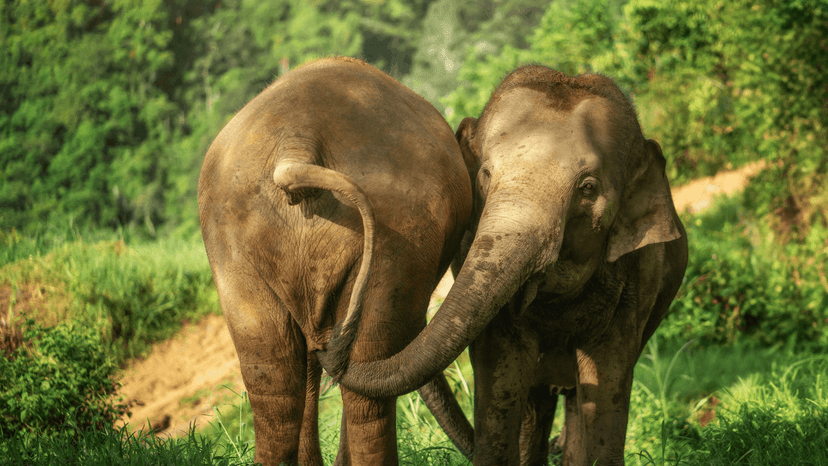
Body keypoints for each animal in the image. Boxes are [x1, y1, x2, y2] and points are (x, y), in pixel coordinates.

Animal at [321, 65, 689, 466]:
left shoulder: (635, 280)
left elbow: (607, 377)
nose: (330, 343)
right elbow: (503, 369)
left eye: (588, 188)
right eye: (484, 174)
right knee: (537, 402)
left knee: (573, 396)